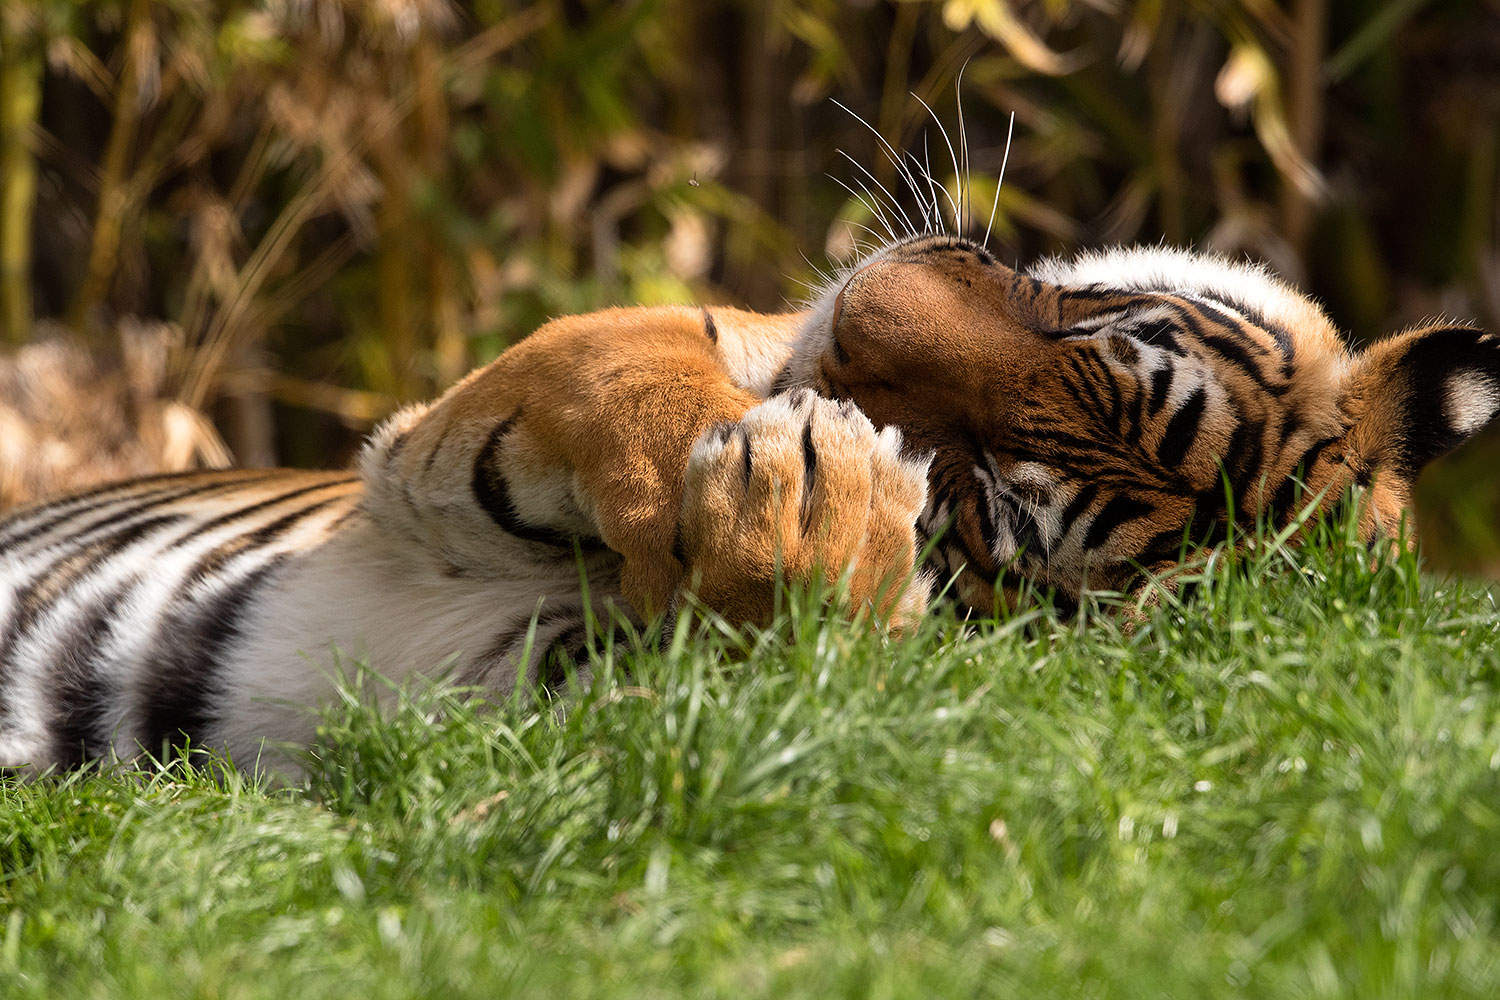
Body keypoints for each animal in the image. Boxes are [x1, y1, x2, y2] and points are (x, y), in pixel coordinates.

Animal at [3, 234, 1497, 776]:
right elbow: (644, 367)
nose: (872, 299)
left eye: (989, 499)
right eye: (1102, 321)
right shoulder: (434, 444)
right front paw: (789, 481)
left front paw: (805, 523)